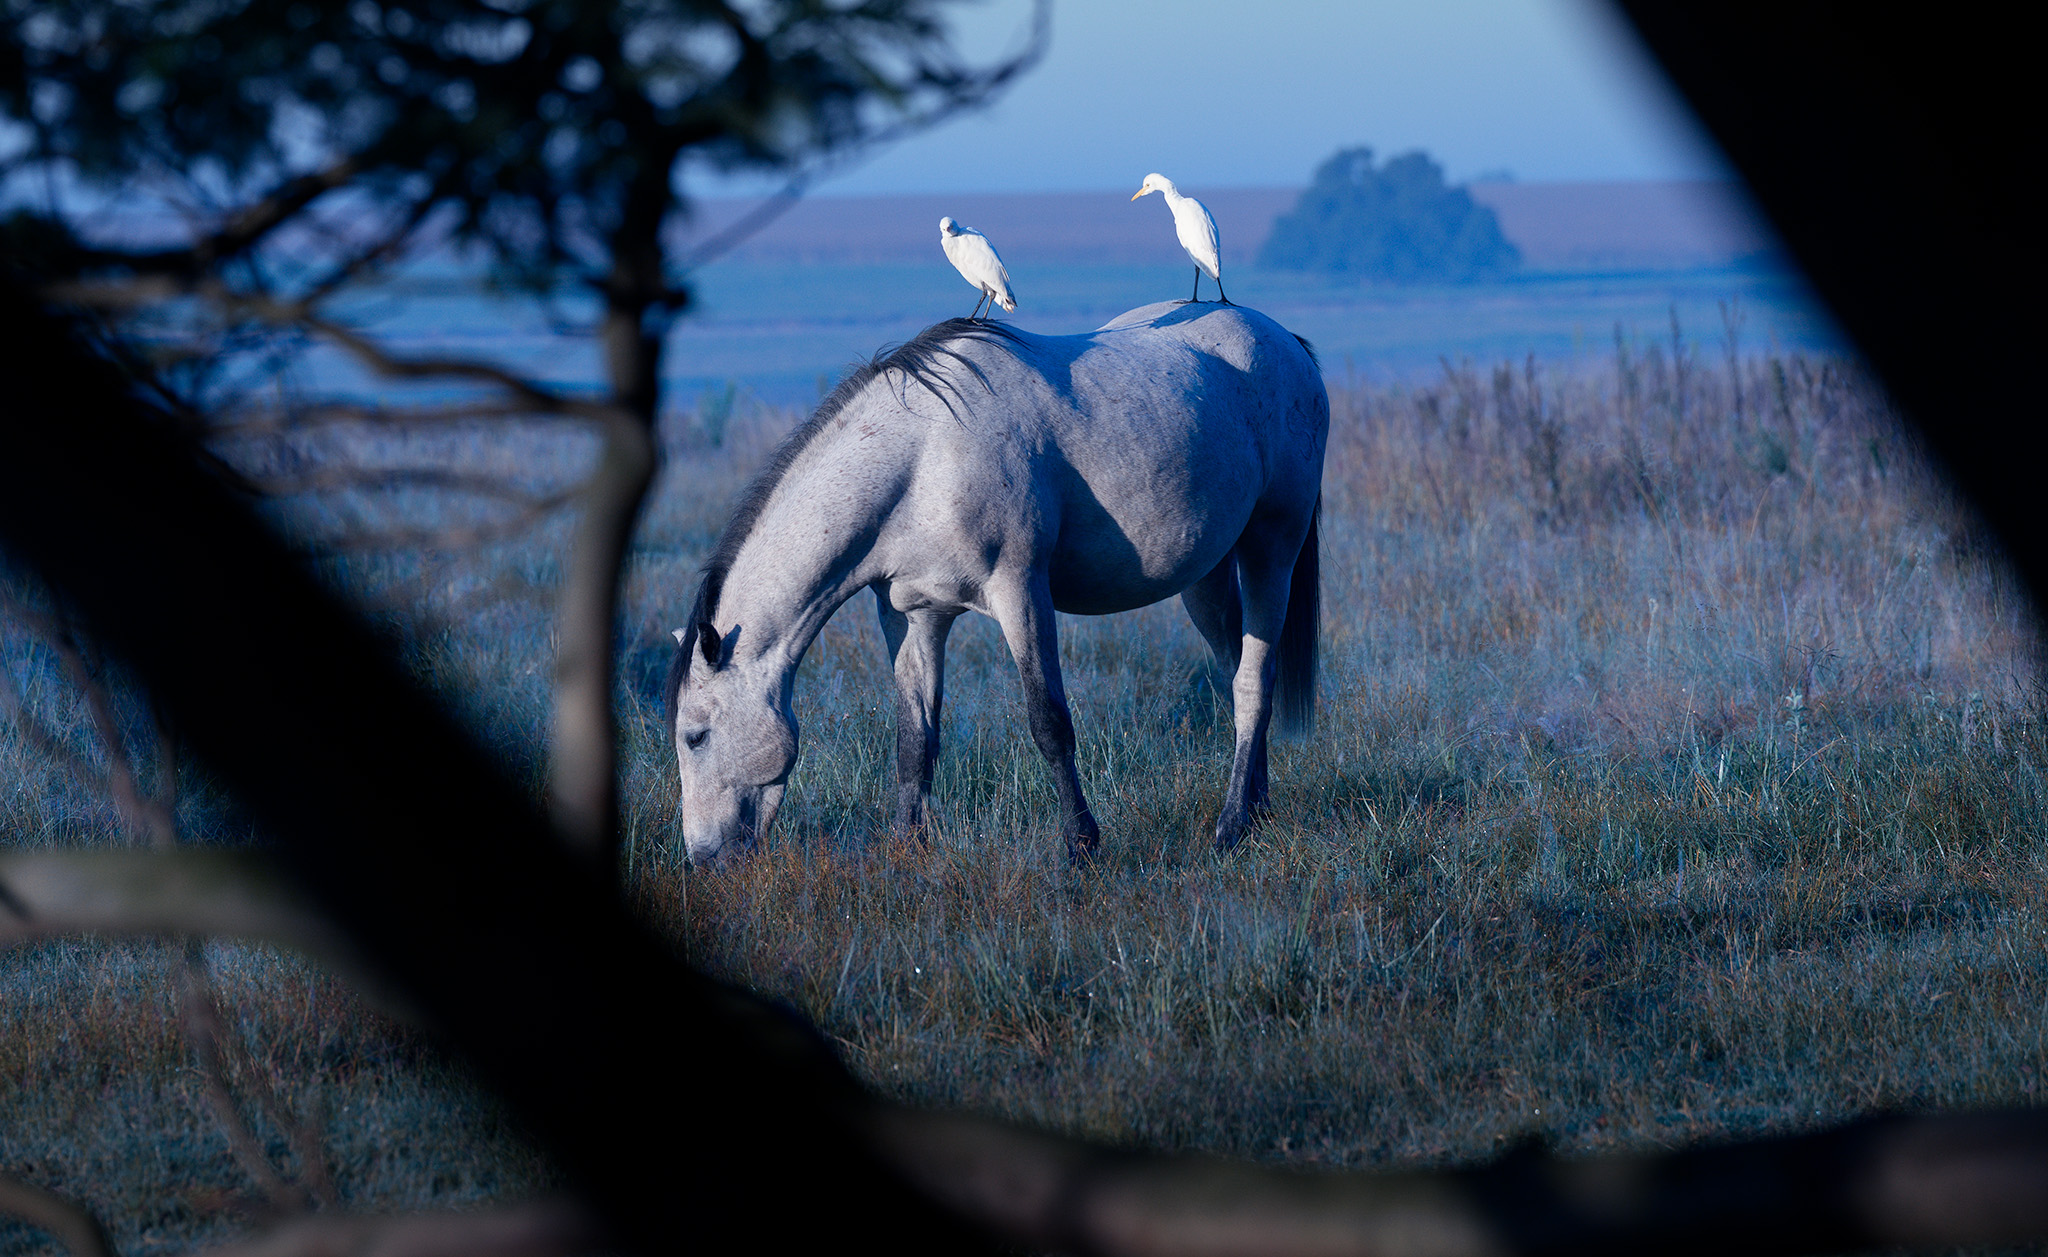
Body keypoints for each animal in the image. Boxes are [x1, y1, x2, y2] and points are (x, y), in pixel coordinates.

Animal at [664, 300, 1328, 864]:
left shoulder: (1020, 594)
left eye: (695, 736)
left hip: (1272, 547)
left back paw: (1232, 826)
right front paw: (906, 848)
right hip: (1206, 578)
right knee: (1237, 669)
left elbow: (1049, 723)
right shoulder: (912, 615)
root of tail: (1285, 342)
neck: (922, 459)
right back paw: (1258, 807)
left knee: (1253, 680)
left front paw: (1082, 847)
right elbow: (915, 737)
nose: (702, 857)